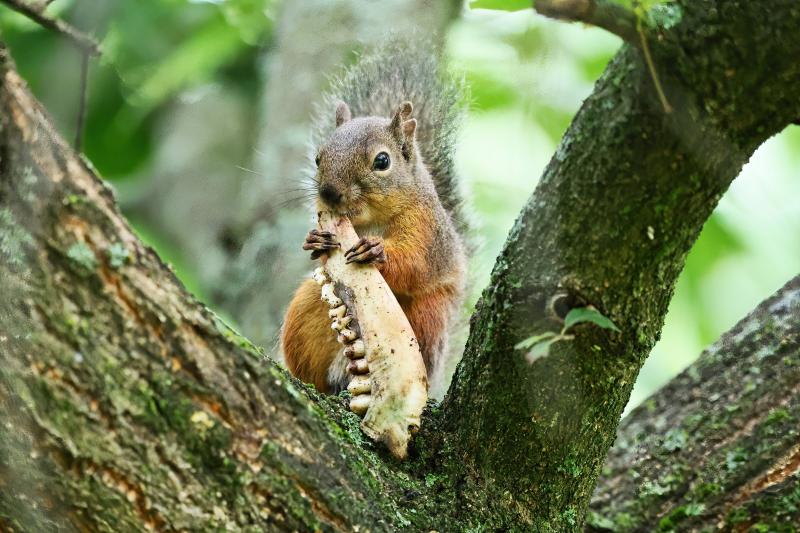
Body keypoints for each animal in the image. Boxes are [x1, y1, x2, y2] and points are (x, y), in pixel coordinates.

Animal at [282, 39, 468, 392]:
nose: (329, 192)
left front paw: (375, 251)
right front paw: (315, 241)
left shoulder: (428, 231)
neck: (370, 221)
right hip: (307, 307)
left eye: (382, 161)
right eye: (318, 158)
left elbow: (416, 264)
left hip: (428, 317)